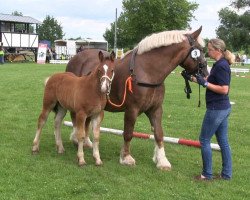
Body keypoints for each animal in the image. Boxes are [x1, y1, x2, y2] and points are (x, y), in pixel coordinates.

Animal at [65, 26, 208, 170]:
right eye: (199, 50)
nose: (206, 74)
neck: (147, 72)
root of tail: (75, 58)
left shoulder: (155, 109)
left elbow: (159, 133)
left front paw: (162, 160)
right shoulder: (132, 109)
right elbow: (128, 133)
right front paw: (126, 157)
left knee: (86, 122)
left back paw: (86, 142)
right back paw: (76, 139)